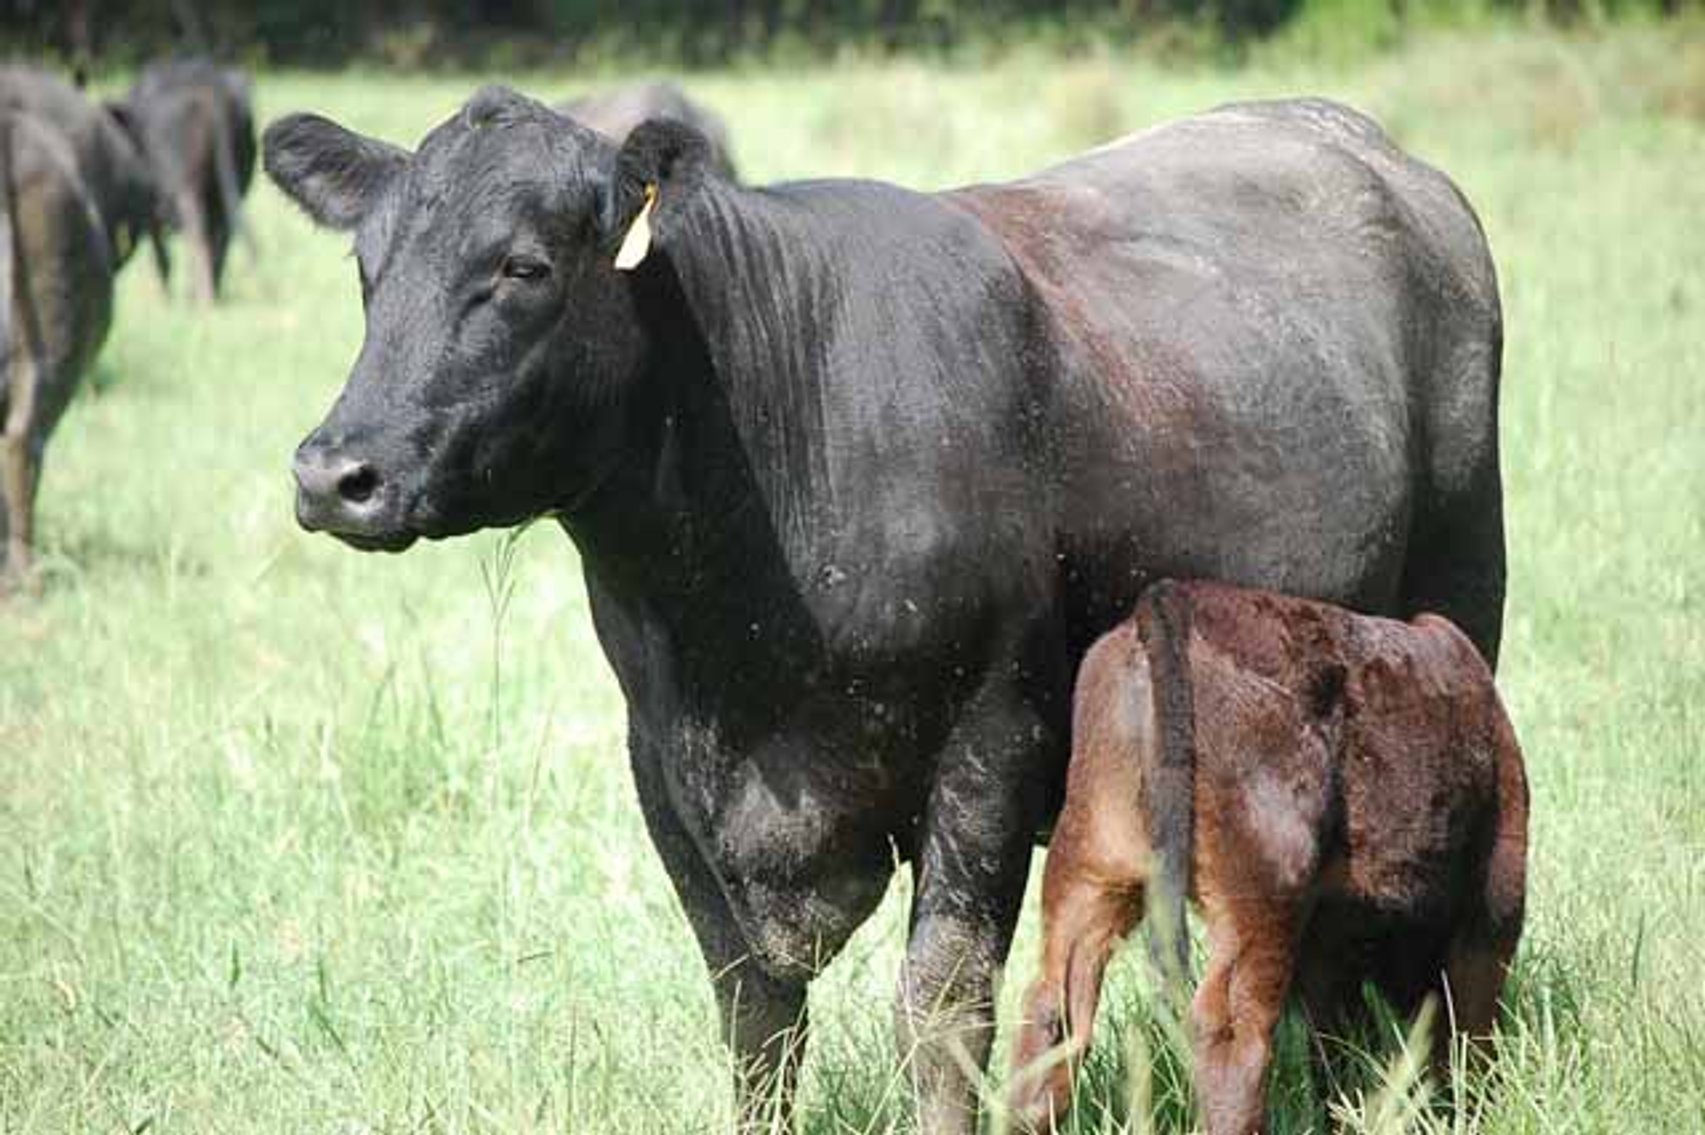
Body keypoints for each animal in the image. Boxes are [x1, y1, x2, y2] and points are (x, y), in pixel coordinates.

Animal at [118, 59, 257, 304]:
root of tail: (204, 84)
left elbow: (161, 254)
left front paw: (167, 301)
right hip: (230, 187)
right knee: (220, 238)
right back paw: (209, 293)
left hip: (185, 188)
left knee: (199, 234)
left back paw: (203, 299)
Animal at [1008, 580, 1529, 1134]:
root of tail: (1172, 600)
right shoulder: (1495, 906)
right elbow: (1468, 1029)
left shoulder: (1330, 945)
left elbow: (1340, 1044)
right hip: (1264, 896)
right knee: (1232, 1034)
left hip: (1092, 869)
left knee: (1053, 1012)